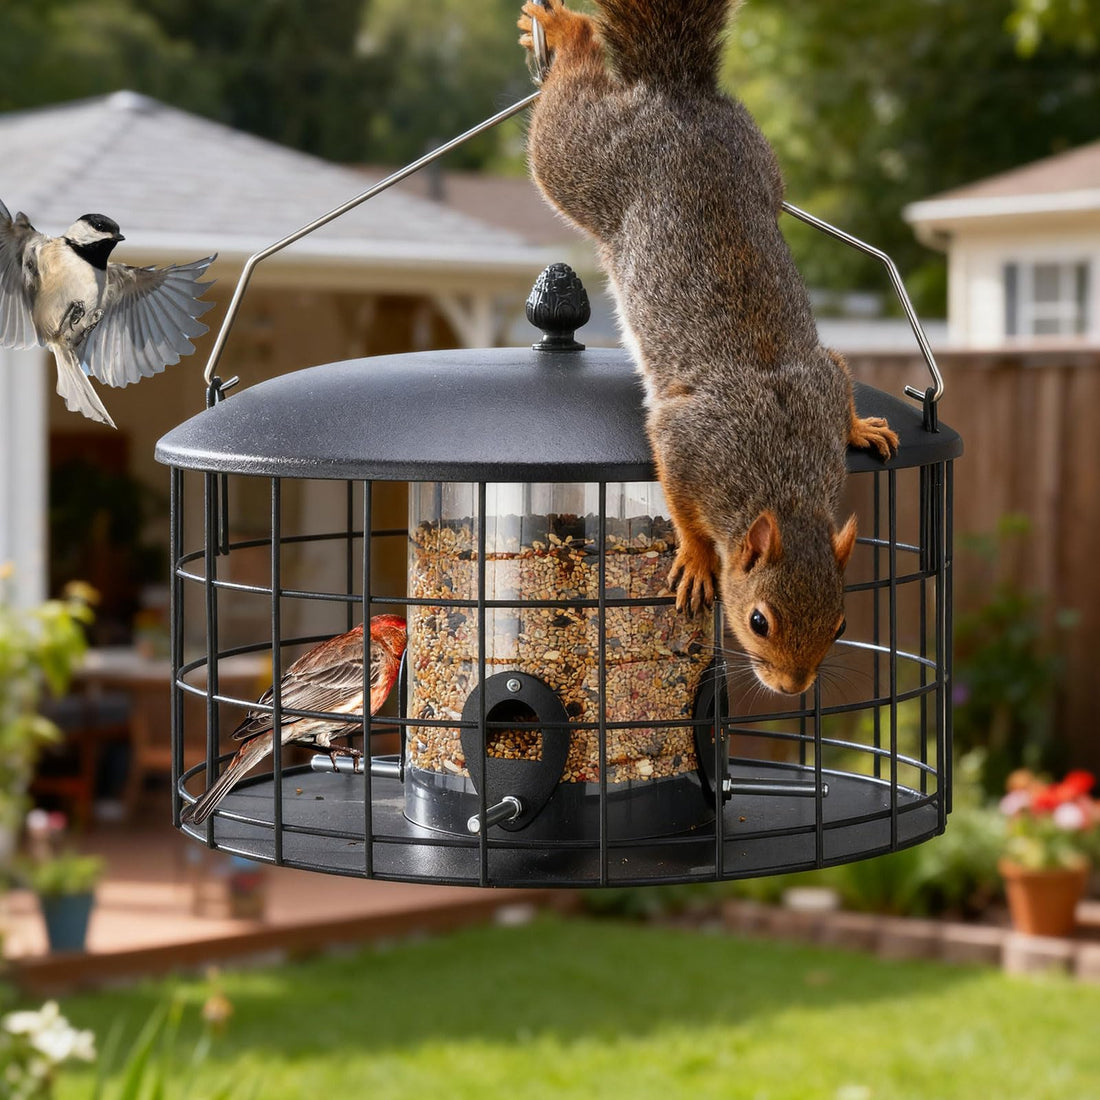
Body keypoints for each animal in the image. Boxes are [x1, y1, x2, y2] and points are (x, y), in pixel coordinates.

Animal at [519, 0, 899, 696]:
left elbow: (838, 374)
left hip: (761, 154)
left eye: (839, 623)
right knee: (567, 106)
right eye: (758, 621)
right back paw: (565, 29)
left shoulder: (820, 381)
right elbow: (680, 502)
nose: (792, 688)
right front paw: (697, 559)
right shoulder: (688, 441)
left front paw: (862, 428)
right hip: (583, 160)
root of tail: (677, 92)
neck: (782, 480)